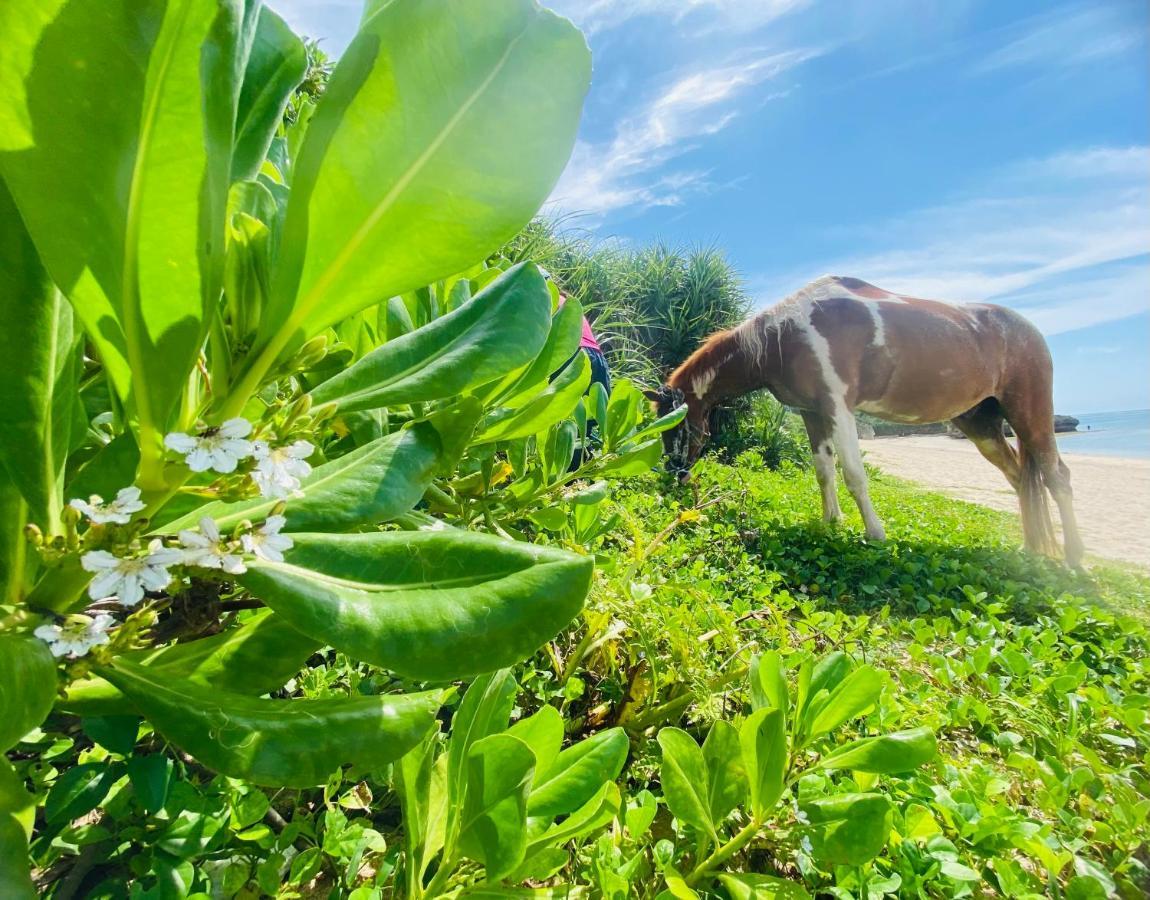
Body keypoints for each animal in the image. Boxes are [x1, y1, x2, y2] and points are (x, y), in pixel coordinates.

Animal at [653, 278, 1081, 567]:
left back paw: (1074, 561)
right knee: (1019, 478)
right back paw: (1031, 550)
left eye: (675, 426)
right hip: (983, 426)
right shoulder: (812, 413)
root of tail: (1030, 331)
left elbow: (854, 475)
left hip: (1030, 411)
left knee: (1056, 476)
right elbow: (823, 471)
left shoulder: (839, 407)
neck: (785, 336)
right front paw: (831, 522)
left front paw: (874, 533)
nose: (675, 475)